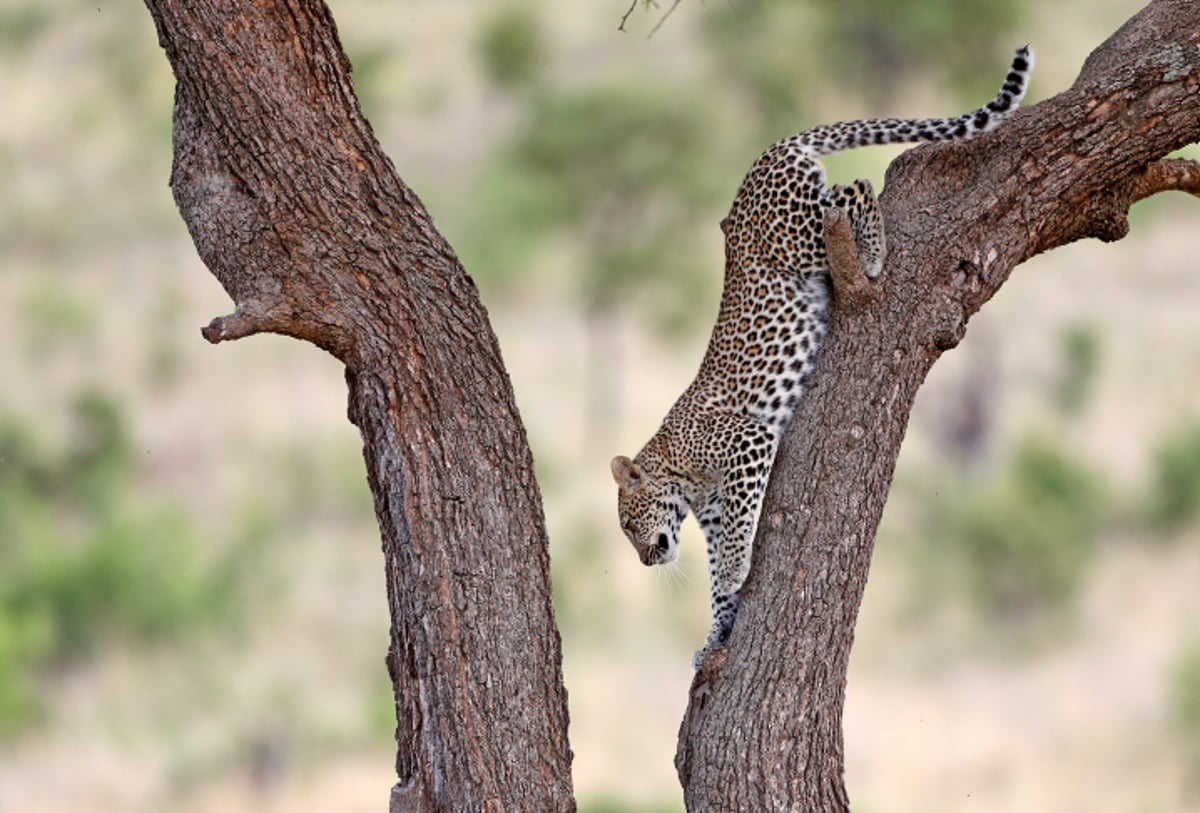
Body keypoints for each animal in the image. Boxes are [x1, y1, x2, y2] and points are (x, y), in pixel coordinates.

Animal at [609, 47, 1032, 666]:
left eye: (628, 523)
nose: (646, 559)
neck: (679, 472)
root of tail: (765, 154)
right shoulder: (711, 510)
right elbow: (713, 572)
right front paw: (715, 633)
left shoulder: (748, 444)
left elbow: (735, 540)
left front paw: (735, 574)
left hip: (800, 236)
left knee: (855, 186)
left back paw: (874, 254)